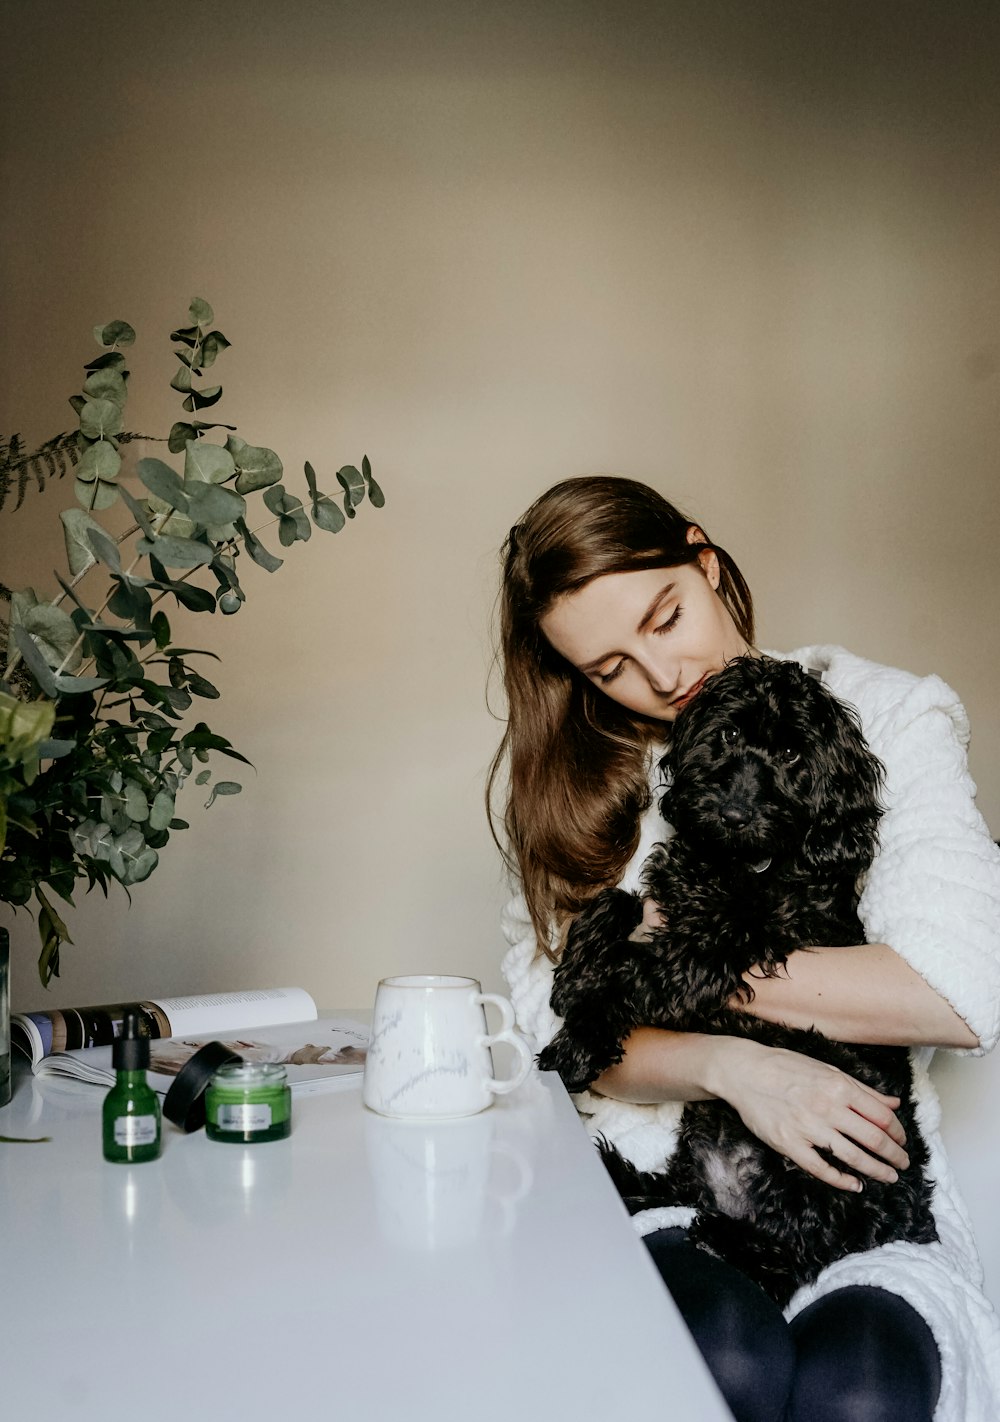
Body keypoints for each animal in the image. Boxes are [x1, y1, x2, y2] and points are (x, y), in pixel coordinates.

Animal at [540, 659, 938, 1302]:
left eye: (792, 753)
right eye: (727, 734)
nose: (733, 812)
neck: (736, 868)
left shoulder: (712, 951)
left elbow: (634, 973)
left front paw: (576, 1035)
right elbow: (618, 901)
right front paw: (576, 968)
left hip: (831, 1175)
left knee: (793, 1259)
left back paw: (723, 1240)